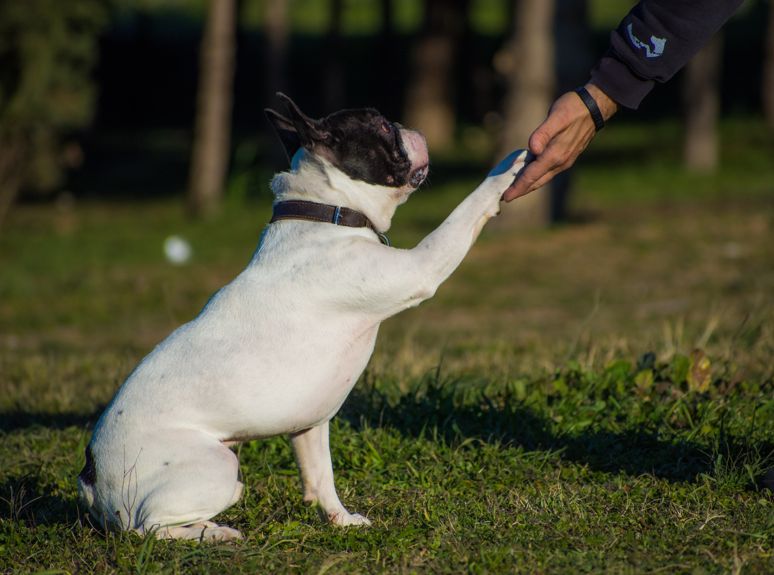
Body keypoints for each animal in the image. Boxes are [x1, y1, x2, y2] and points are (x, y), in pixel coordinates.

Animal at [79, 93, 528, 540]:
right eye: (382, 126)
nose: (408, 126)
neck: (327, 211)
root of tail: (91, 477)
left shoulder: (310, 425)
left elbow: (320, 477)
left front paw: (341, 521)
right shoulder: (423, 267)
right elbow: (464, 211)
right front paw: (509, 166)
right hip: (218, 468)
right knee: (150, 528)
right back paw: (216, 534)